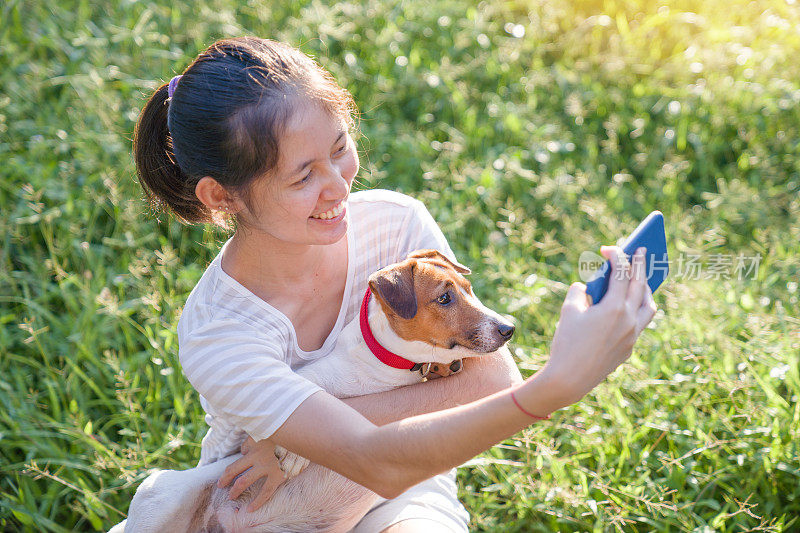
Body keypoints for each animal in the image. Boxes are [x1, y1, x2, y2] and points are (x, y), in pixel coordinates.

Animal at [115, 249, 516, 532]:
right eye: (444, 298)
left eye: (469, 290)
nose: (509, 328)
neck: (384, 369)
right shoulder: (306, 385)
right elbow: (310, 399)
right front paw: (292, 455)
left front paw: (444, 368)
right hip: (161, 493)